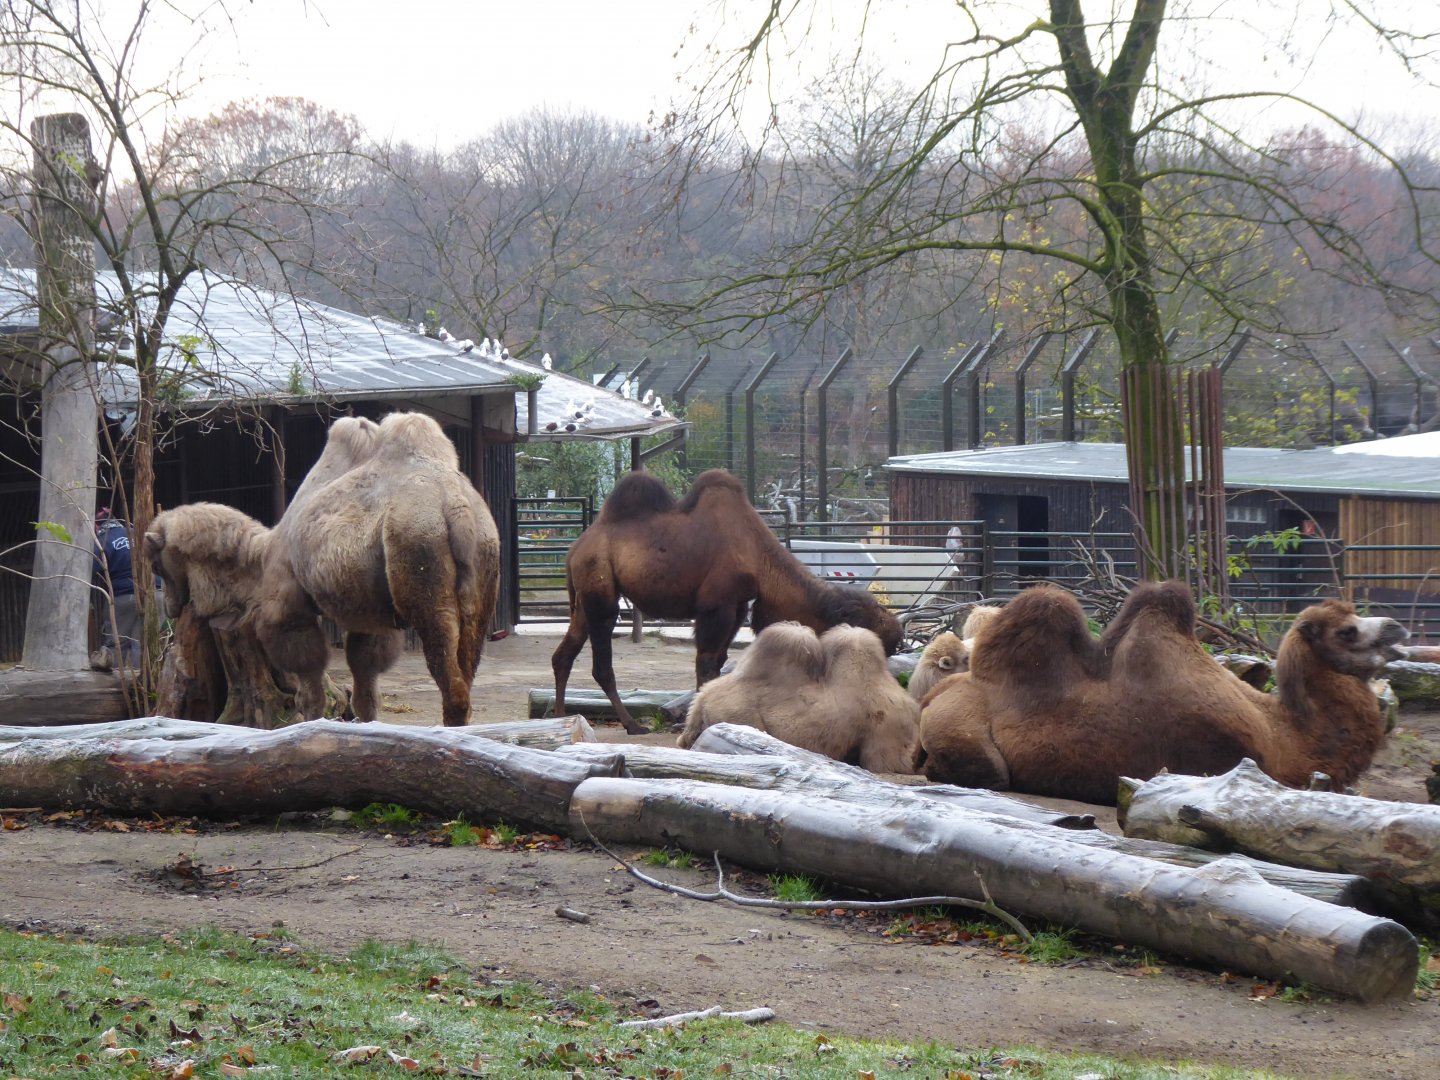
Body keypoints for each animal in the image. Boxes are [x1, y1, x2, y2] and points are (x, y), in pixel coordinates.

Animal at [552, 469, 904, 735]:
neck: (759, 559)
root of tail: (575, 549)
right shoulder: (716, 605)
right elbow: (706, 663)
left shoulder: (737, 607)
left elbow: (718, 662)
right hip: (600, 589)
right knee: (601, 662)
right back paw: (632, 725)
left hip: (583, 598)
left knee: (564, 654)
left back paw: (559, 717)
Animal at [914, 581, 1408, 804]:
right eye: (1346, 631)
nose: (1396, 628)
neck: (1286, 737)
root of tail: (930, 697)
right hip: (970, 739)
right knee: (990, 773)